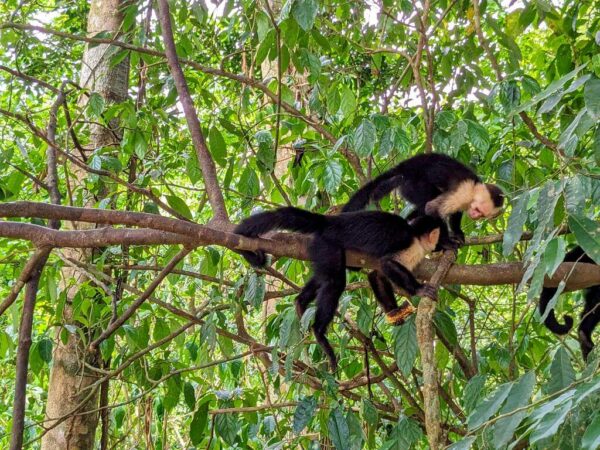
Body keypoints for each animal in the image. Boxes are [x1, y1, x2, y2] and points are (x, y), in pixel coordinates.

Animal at [233, 207, 440, 370]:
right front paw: (419, 290)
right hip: (328, 244)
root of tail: (329, 221)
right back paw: (319, 333)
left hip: (319, 246)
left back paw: (300, 303)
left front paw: (394, 312)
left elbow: (377, 276)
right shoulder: (411, 247)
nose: (439, 245)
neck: (415, 235)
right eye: (439, 234)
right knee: (335, 281)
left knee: (324, 276)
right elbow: (387, 264)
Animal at [340, 153, 504, 248]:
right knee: (426, 200)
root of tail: (405, 166)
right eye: (478, 210)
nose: (475, 216)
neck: (474, 188)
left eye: (482, 215)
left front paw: (457, 233)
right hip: (412, 184)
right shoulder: (463, 192)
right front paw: (446, 242)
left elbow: (455, 213)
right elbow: (433, 209)